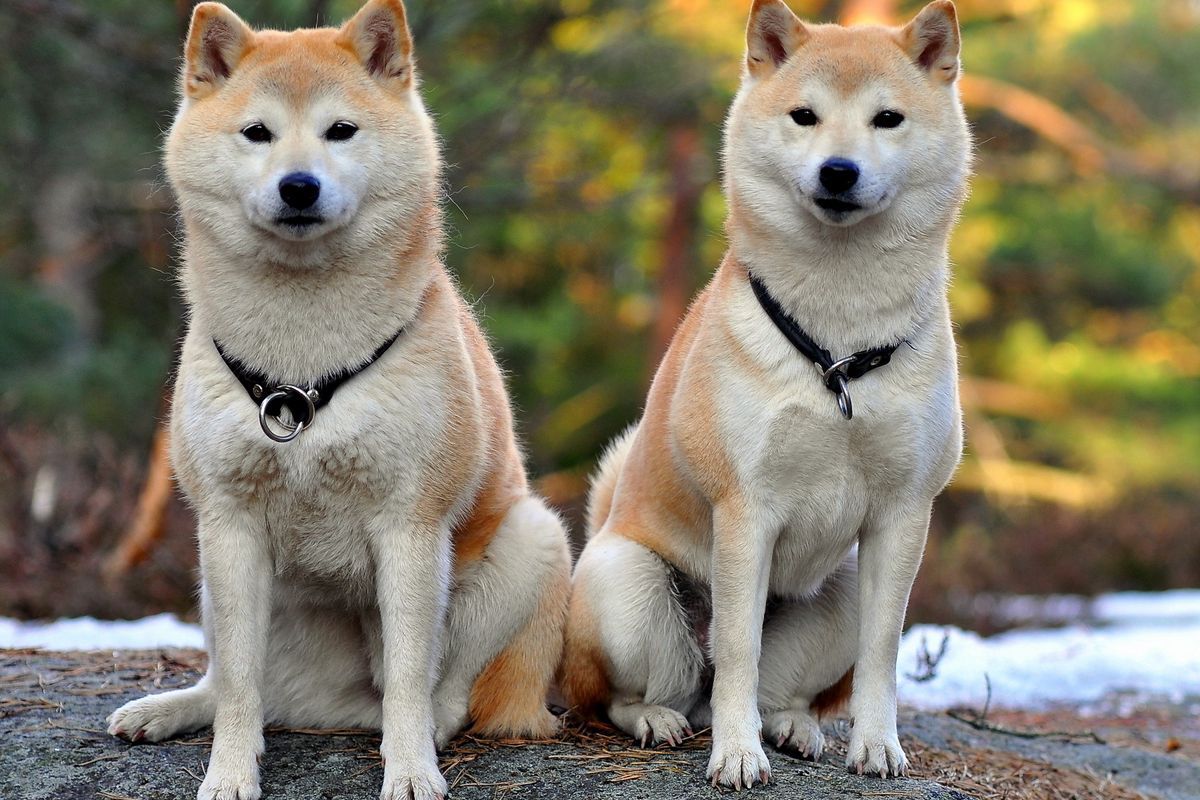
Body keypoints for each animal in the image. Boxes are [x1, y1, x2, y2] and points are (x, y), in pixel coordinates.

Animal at [105, 1, 568, 800]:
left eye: (341, 131)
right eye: (257, 132)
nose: (299, 186)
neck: (301, 368)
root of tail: (333, 709)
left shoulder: (410, 525)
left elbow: (412, 676)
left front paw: (410, 771)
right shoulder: (229, 524)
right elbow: (239, 687)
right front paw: (229, 774)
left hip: (531, 540)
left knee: (443, 692)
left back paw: (424, 731)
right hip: (212, 579)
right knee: (233, 681)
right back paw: (170, 708)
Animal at [556, 0, 969, 786]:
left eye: (888, 119)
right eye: (805, 115)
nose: (839, 170)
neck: (838, 347)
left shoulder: (903, 514)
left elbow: (883, 651)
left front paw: (877, 744)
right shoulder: (746, 510)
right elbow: (737, 649)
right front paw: (736, 756)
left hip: (838, 591)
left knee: (777, 693)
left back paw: (794, 727)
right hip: (628, 587)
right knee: (643, 693)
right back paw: (662, 720)